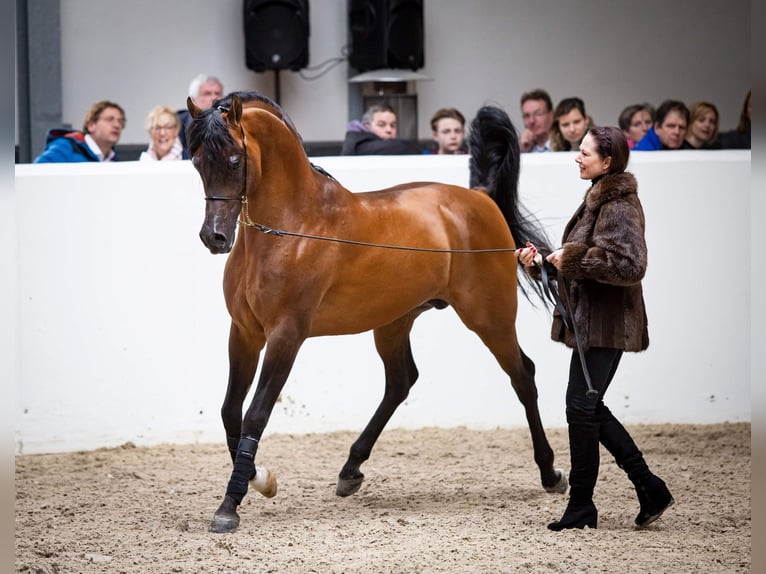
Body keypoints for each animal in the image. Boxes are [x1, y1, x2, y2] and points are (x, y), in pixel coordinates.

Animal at [188, 91, 568, 536]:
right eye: (197, 160)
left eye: (234, 160)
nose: (215, 237)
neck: (292, 227)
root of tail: (480, 197)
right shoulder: (245, 332)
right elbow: (230, 410)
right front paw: (260, 479)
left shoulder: (286, 335)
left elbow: (255, 415)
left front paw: (229, 506)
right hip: (394, 321)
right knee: (401, 382)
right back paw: (350, 470)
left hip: (489, 317)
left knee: (522, 376)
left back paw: (551, 474)